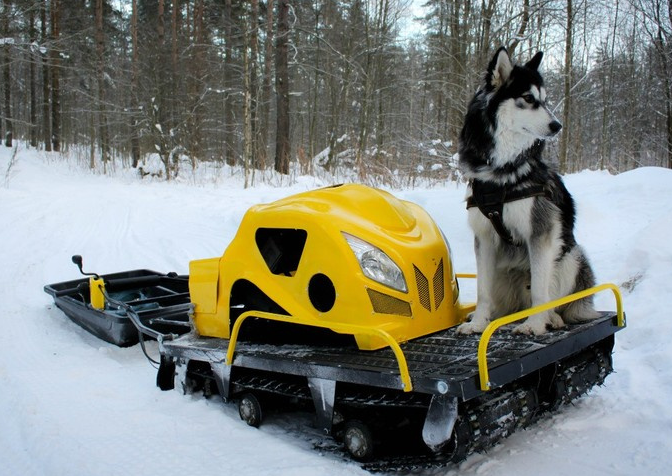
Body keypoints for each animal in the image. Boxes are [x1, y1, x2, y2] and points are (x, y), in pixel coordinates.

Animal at [456, 46, 600, 332]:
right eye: (528, 98)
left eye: (545, 100)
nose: (557, 126)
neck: (502, 170)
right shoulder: (484, 237)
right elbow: (482, 291)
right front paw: (477, 324)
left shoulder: (541, 233)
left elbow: (540, 292)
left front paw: (534, 325)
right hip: (503, 273)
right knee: (502, 303)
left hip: (570, 256)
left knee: (554, 299)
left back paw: (551, 318)